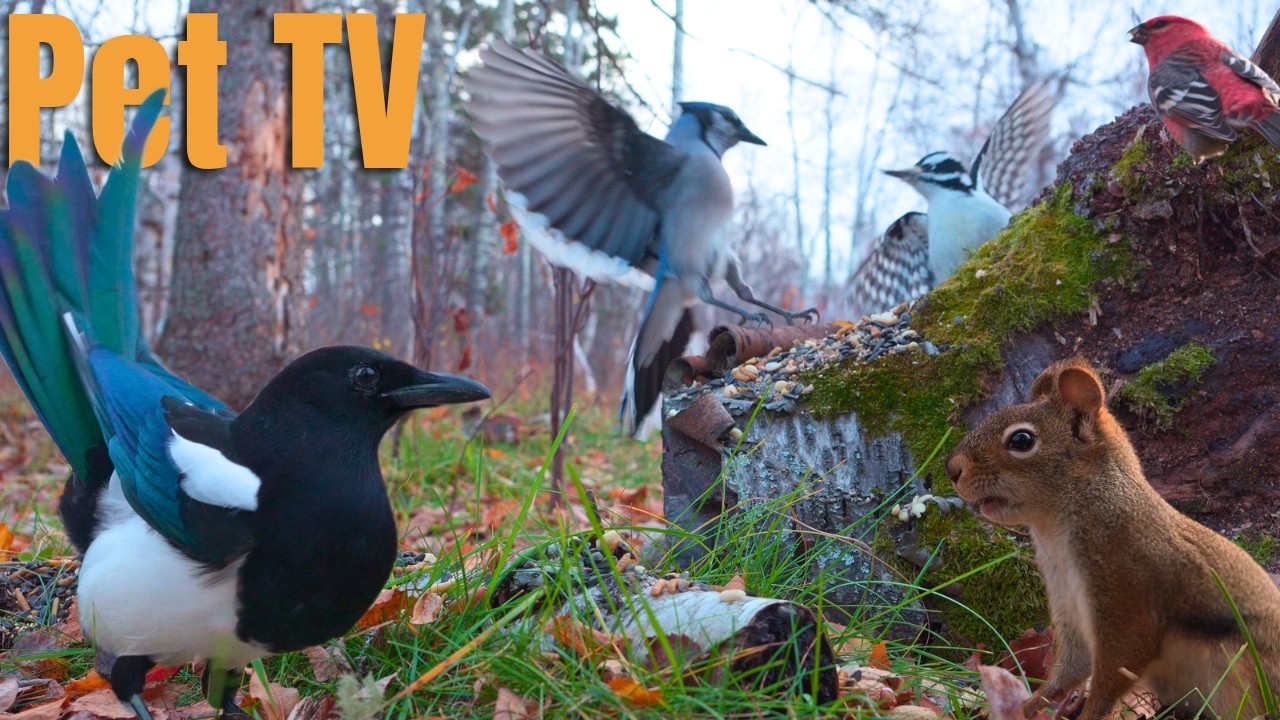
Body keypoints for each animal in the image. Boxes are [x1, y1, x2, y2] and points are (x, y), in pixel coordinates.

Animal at [946, 357, 1280, 720]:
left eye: (1021, 440)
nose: (952, 469)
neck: (1059, 529)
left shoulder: (1127, 604)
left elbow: (1112, 675)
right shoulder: (1069, 607)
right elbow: (1067, 674)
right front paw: (1023, 706)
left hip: (1238, 674)